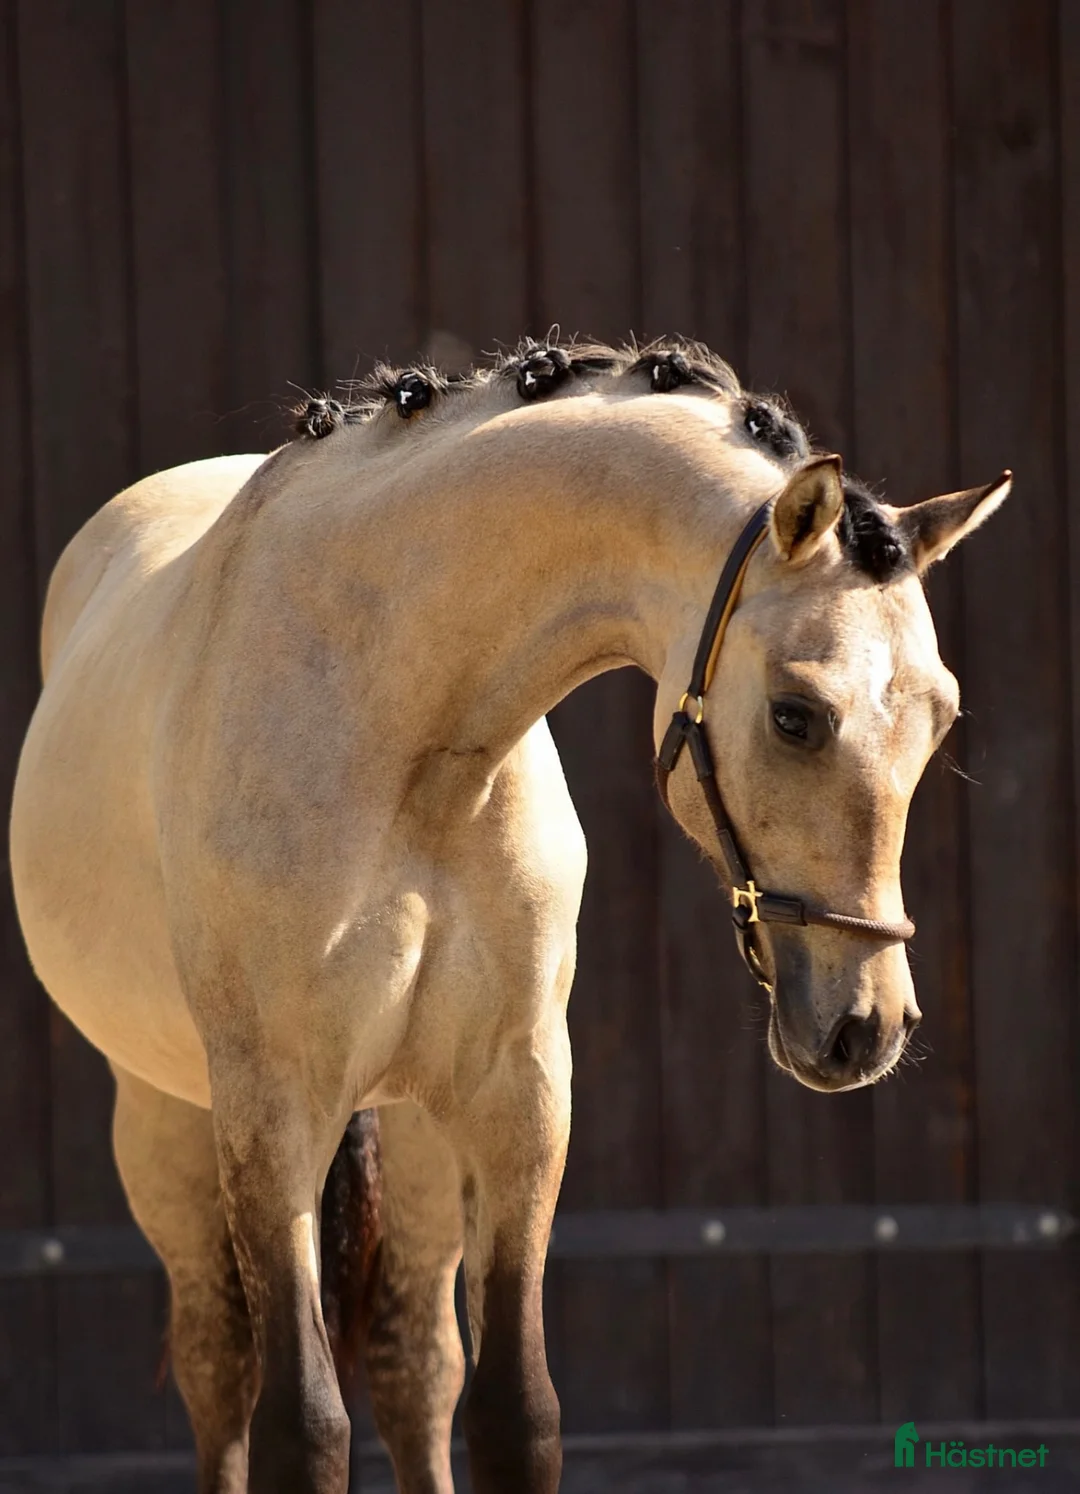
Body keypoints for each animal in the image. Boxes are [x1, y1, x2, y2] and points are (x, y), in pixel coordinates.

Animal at [9, 338, 1010, 1494]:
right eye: (796, 715)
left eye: (941, 716)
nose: (865, 1027)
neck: (399, 724)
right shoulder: (272, 1107)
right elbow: (303, 1425)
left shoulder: (517, 1097)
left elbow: (513, 1413)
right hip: (166, 1116)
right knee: (221, 1369)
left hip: (411, 1129)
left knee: (414, 1369)